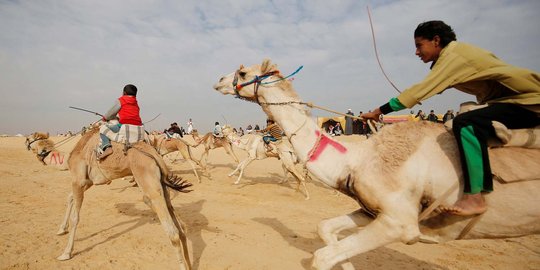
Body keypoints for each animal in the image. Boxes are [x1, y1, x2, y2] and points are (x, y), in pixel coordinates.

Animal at [54, 127, 193, 270]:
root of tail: (155, 155)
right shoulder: (88, 182)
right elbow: (70, 197)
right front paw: (61, 229)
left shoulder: (78, 181)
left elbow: (75, 218)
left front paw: (66, 253)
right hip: (161, 185)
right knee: (180, 227)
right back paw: (189, 264)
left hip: (148, 182)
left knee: (173, 232)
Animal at [214, 59, 540, 270]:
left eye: (242, 71)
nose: (218, 80)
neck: (356, 160)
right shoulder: (370, 211)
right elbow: (325, 232)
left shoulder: (400, 223)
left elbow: (322, 257)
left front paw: (235, 179)